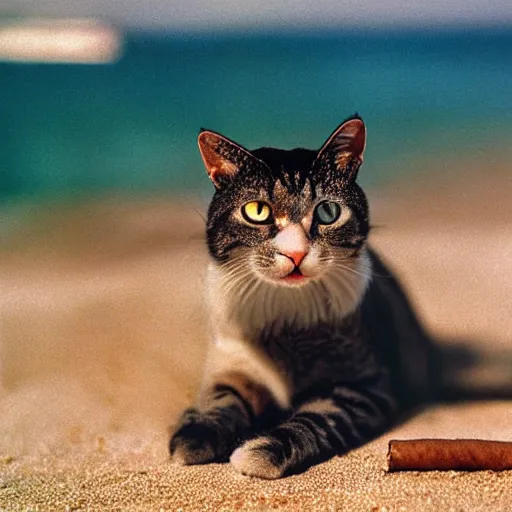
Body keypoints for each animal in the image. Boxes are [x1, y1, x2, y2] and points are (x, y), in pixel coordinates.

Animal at [168, 116, 436, 480]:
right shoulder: (231, 366)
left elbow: (314, 421)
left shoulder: (363, 386)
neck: (285, 320)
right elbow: (219, 402)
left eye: (328, 211)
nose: (295, 253)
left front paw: (261, 451)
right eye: (257, 211)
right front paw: (194, 435)